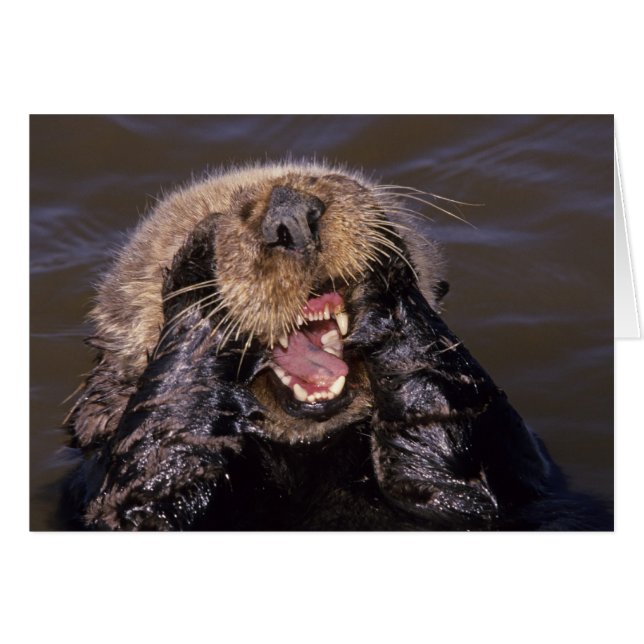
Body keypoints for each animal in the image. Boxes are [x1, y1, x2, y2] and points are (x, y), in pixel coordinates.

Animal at [64, 161, 610, 530]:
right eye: (219, 213)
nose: (289, 214)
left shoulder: (510, 469)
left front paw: (387, 280)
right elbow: (149, 493)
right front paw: (197, 270)